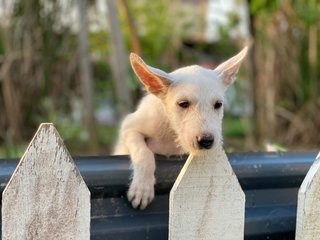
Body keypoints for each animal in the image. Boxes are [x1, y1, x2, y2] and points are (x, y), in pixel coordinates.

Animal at [114, 46, 249, 209]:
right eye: (183, 104)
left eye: (218, 105)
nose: (206, 141)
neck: (171, 134)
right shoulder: (129, 127)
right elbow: (144, 153)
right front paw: (142, 189)